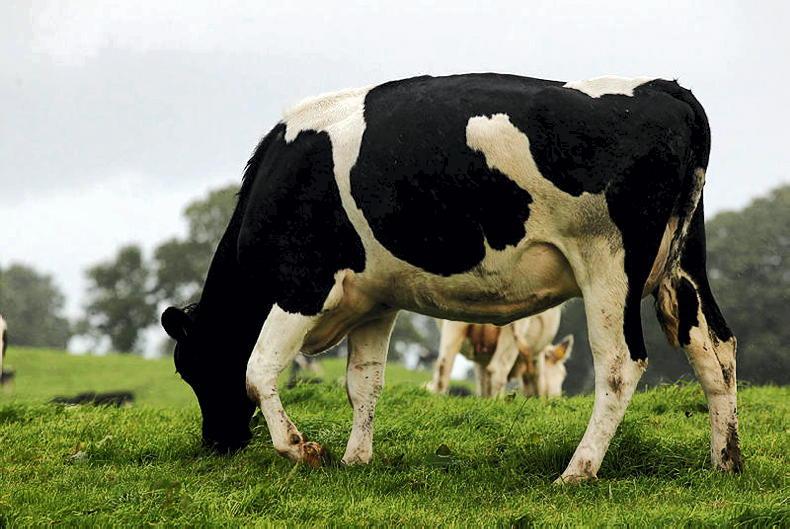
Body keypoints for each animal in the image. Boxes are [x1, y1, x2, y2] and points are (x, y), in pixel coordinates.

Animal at [428, 308, 574, 397]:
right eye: (563, 374)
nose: (556, 397)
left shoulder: (481, 360)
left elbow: (483, 382)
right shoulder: (536, 355)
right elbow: (536, 379)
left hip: (454, 324)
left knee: (443, 367)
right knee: (498, 370)